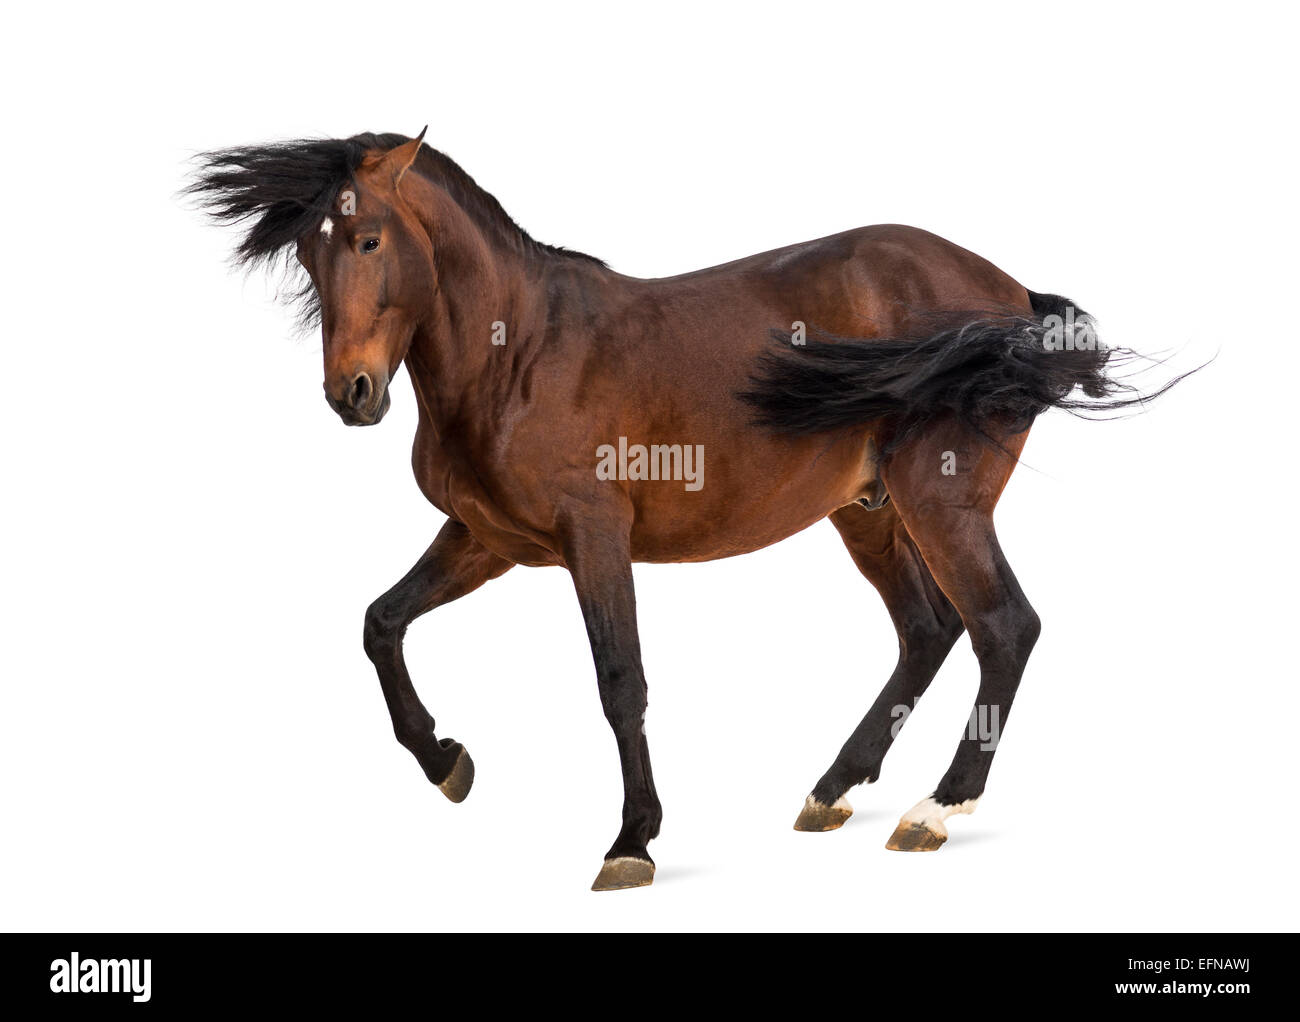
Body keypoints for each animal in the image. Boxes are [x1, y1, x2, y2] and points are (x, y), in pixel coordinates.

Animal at [189, 127, 1180, 889]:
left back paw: (935, 810)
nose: (351, 394)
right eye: (309, 253)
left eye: (367, 241)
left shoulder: (593, 538)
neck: (516, 354)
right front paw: (447, 763)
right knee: (927, 631)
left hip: (942, 502)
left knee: (1004, 627)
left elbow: (619, 681)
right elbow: (381, 623)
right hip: (866, 511)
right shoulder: (486, 538)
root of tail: (1013, 298)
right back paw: (832, 790)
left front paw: (631, 842)